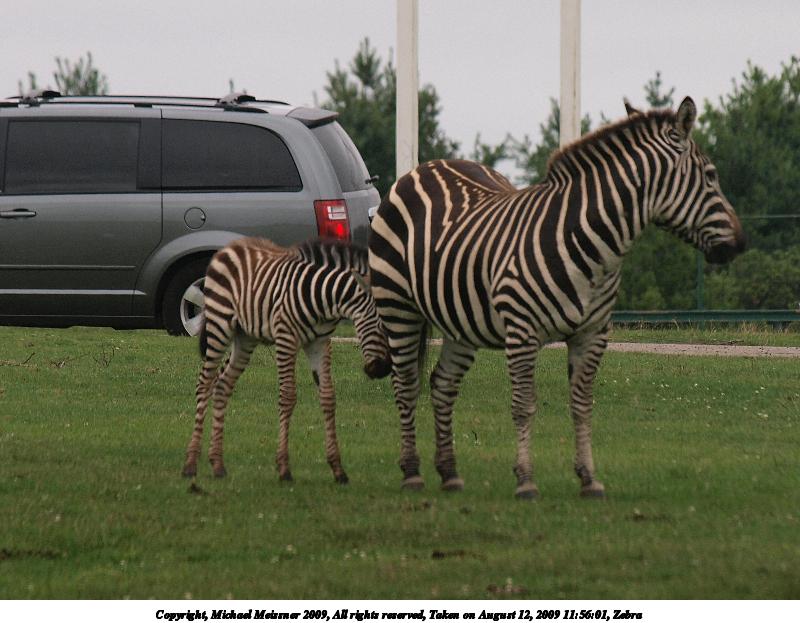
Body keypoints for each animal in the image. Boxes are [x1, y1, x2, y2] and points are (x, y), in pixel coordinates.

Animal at [181, 237, 392, 484]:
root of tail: (232, 244)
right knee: (204, 383)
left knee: (222, 384)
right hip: (219, 323)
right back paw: (190, 464)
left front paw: (338, 469)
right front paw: (283, 468)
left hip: (245, 337)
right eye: (381, 326)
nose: (383, 369)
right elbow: (287, 397)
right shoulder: (286, 339)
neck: (324, 299)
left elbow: (328, 398)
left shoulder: (320, 343)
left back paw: (217, 465)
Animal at [368, 97, 746, 499]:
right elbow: (523, 405)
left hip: (460, 319)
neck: (591, 246)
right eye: (711, 175)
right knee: (406, 384)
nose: (741, 243)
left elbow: (581, 405)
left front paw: (588, 478)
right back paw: (412, 471)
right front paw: (525, 480)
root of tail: (422, 168)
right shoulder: (521, 330)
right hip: (398, 306)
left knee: (442, 384)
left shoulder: (593, 334)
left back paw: (450, 472)